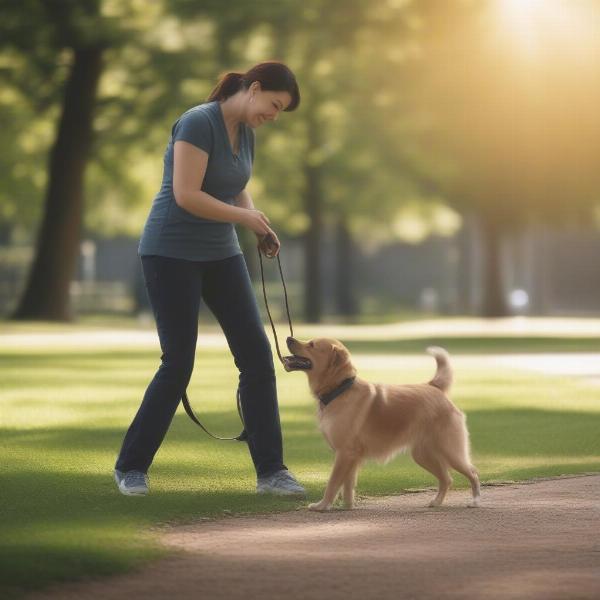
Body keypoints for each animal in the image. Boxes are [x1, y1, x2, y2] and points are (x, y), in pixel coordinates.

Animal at [284, 338, 480, 510]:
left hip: (451, 452)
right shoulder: (350, 456)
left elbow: (333, 483)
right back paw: (437, 502)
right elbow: (347, 485)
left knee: (472, 473)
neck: (340, 389)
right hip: (423, 455)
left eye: (311, 344)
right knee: (447, 479)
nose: (288, 338)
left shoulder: (344, 453)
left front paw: (323, 505)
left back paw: (475, 501)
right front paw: (347, 507)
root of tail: (433, 387)